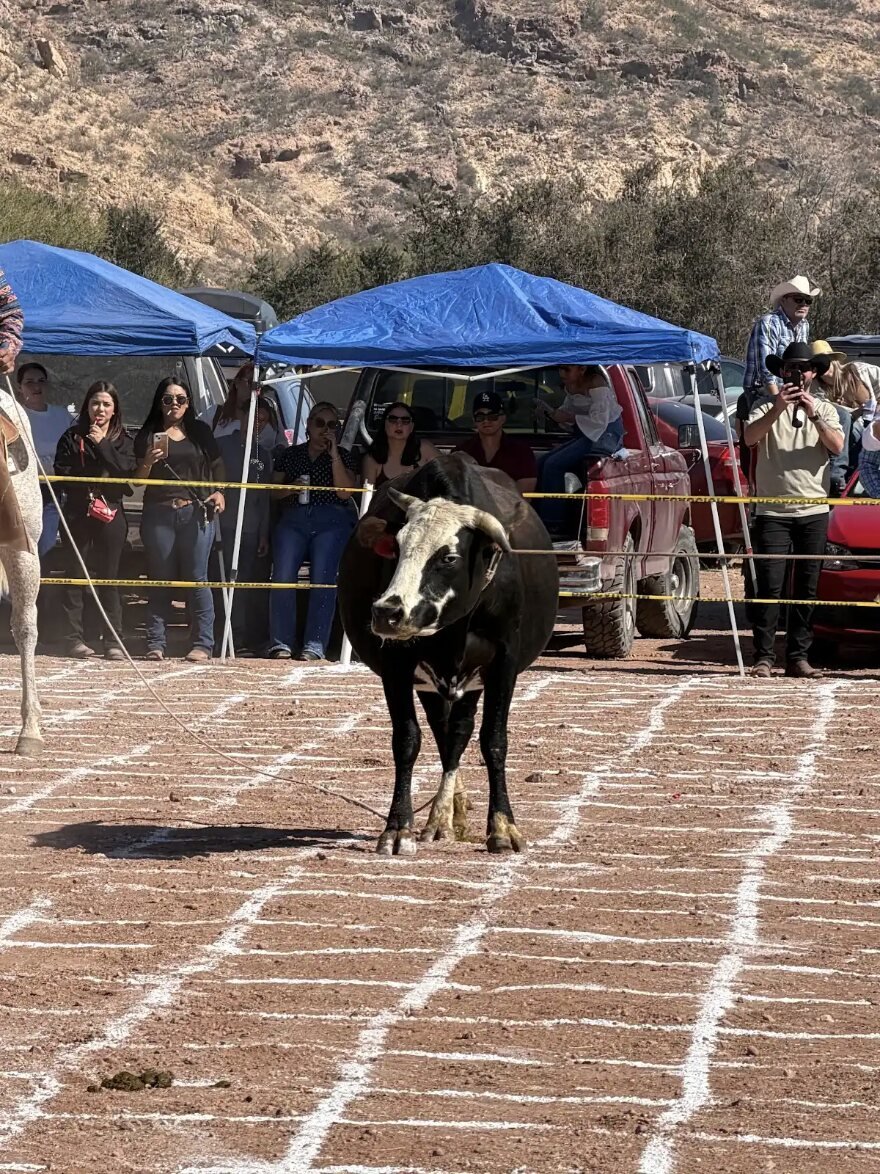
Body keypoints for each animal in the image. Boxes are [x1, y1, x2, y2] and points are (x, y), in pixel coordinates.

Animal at [337, 453, 559, 856]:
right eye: (397, 548)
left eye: (449, 557)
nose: (386, 611)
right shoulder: (397, 665)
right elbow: (407, 740)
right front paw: (398, 829)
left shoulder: (504, 663)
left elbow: (494, 740)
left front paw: (503, 827)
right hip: (433, 681)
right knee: (445, 735)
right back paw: (442, 818)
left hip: (470, 680)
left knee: (458, 732)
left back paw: (446, 815)